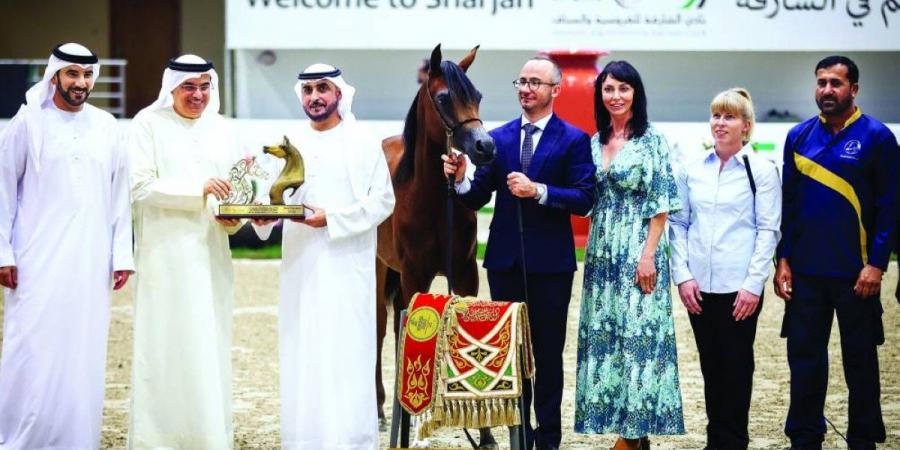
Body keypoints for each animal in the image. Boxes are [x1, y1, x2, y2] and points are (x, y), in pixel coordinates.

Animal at [374, 44, 496, 428]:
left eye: (478, 95)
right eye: (443, 97)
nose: (486, 146)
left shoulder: (466, 273)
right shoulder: (416, 274)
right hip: (380, 270)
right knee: (381, 326)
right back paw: (380, 408)